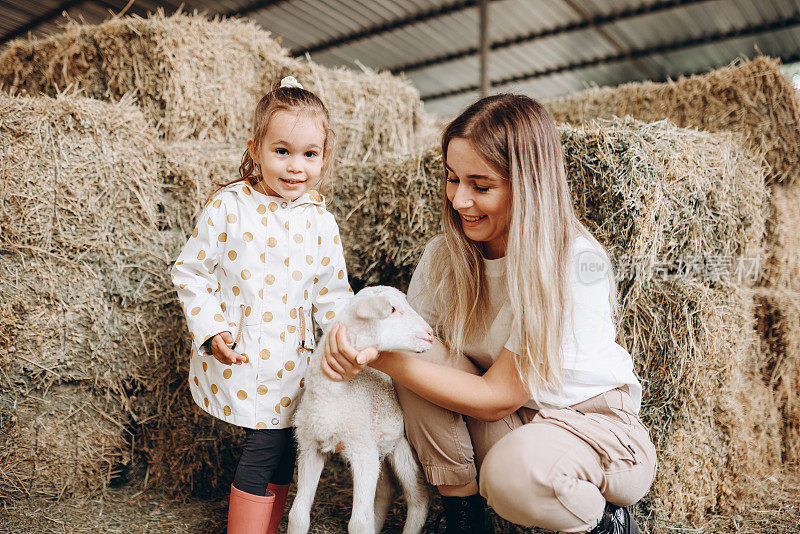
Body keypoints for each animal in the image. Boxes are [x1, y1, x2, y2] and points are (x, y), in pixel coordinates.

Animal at [290, 288, 432, 534]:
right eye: (392, 309)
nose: (430, 334)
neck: (333, 395)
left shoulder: (362, 450)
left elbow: (359, 522)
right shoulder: (311, 447)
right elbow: (297, 515)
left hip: (402, 447)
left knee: (418, 497)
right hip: (380, 447)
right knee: (387, 491)